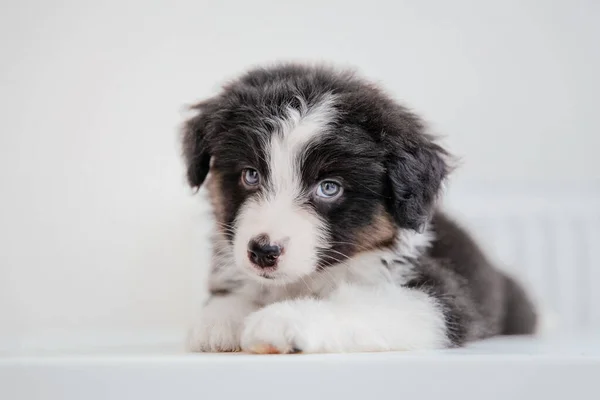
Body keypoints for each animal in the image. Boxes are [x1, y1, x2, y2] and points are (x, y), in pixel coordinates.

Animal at [180, 62, 536, 354]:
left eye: (329, 187)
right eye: (250, 175)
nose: (263, 251)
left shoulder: (441, 296)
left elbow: (363, 303)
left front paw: (283, 320)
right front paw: (220, 320)